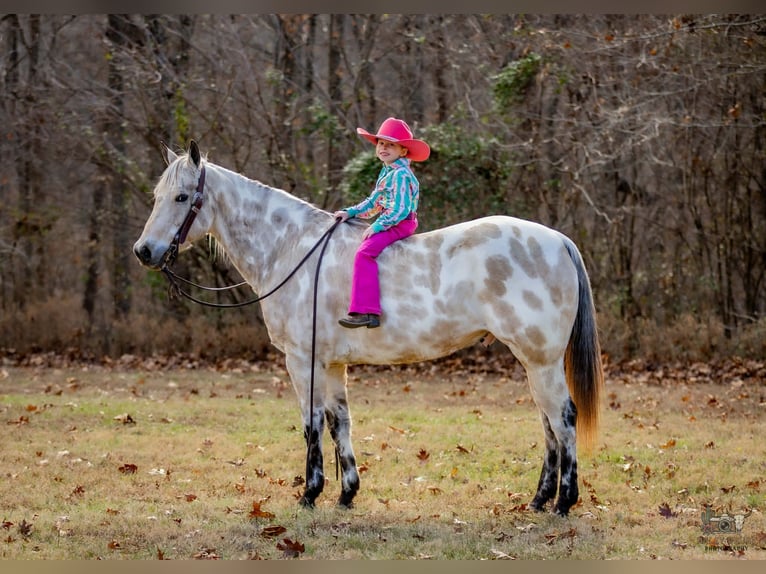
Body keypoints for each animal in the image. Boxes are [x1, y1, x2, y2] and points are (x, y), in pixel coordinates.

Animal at [133, 141, 604, 516]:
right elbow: (340, 422)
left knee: (563, 418)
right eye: (157, 196)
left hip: (541, 361)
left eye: (181, 197)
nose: (144, 251)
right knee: (548, 424)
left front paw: (310, 494)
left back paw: (563, 502)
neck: (292, 249)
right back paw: (539, 499)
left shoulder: (302, 361)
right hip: (531, 362)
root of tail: (559, 241)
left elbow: (312, 425)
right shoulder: (332, 364)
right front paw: (346, 494)